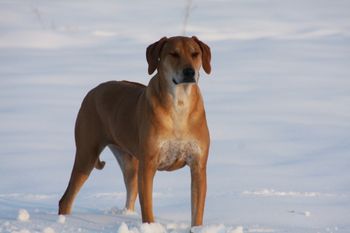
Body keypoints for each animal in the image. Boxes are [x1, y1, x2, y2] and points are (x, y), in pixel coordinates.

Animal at [58, 35, 212, 227]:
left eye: (195, 53)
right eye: (174, 54)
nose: (189, 72)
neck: (179, 104)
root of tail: (93, 91)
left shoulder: (198, 165)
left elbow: (197, 212)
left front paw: (197, 228)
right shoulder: (148, 164)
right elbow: (147, 207)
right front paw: (151, 228)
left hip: (128, 160)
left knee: (130, 190)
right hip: (86, 154)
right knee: (66, 199)